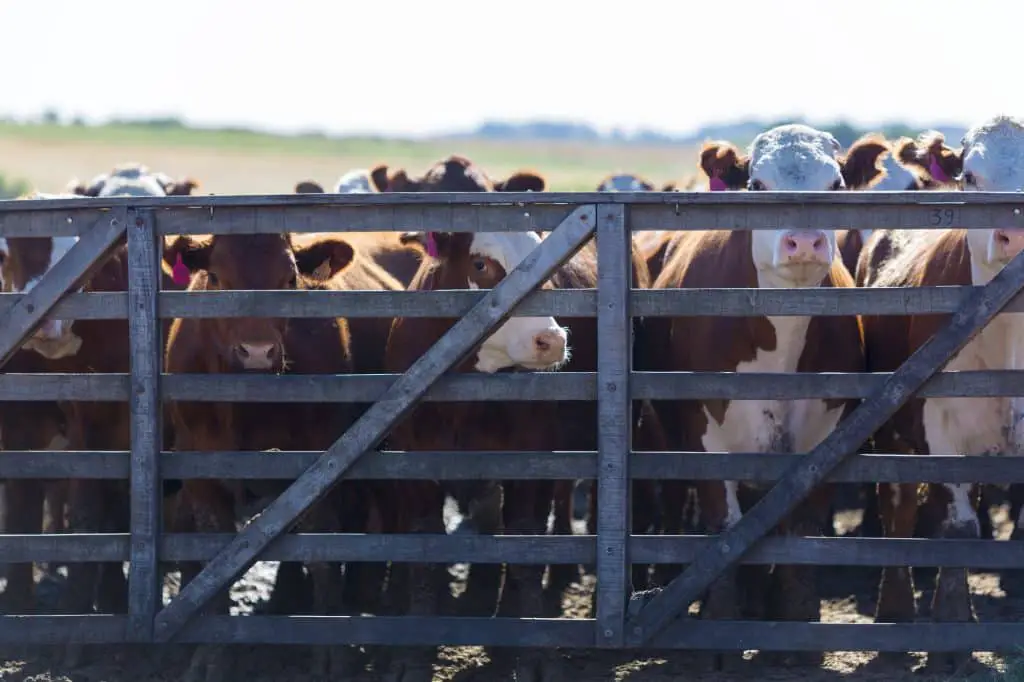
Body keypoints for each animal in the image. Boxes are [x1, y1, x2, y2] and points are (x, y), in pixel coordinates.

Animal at [643, 122, 868, 663]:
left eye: (835, 186)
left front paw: (797, 629)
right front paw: (720, 630)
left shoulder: (825, 436)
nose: (804, 241)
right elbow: (724, 528)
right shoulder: (703, 437)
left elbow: (801, 533)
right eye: (757, 185)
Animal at [856, 112, 1024, 667]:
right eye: (970, 176)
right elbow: (958, 529)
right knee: (898, 506)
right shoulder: (942, 427)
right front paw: (951, 632)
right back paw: (894, 610)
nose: (1013, 236)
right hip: (892, 432)